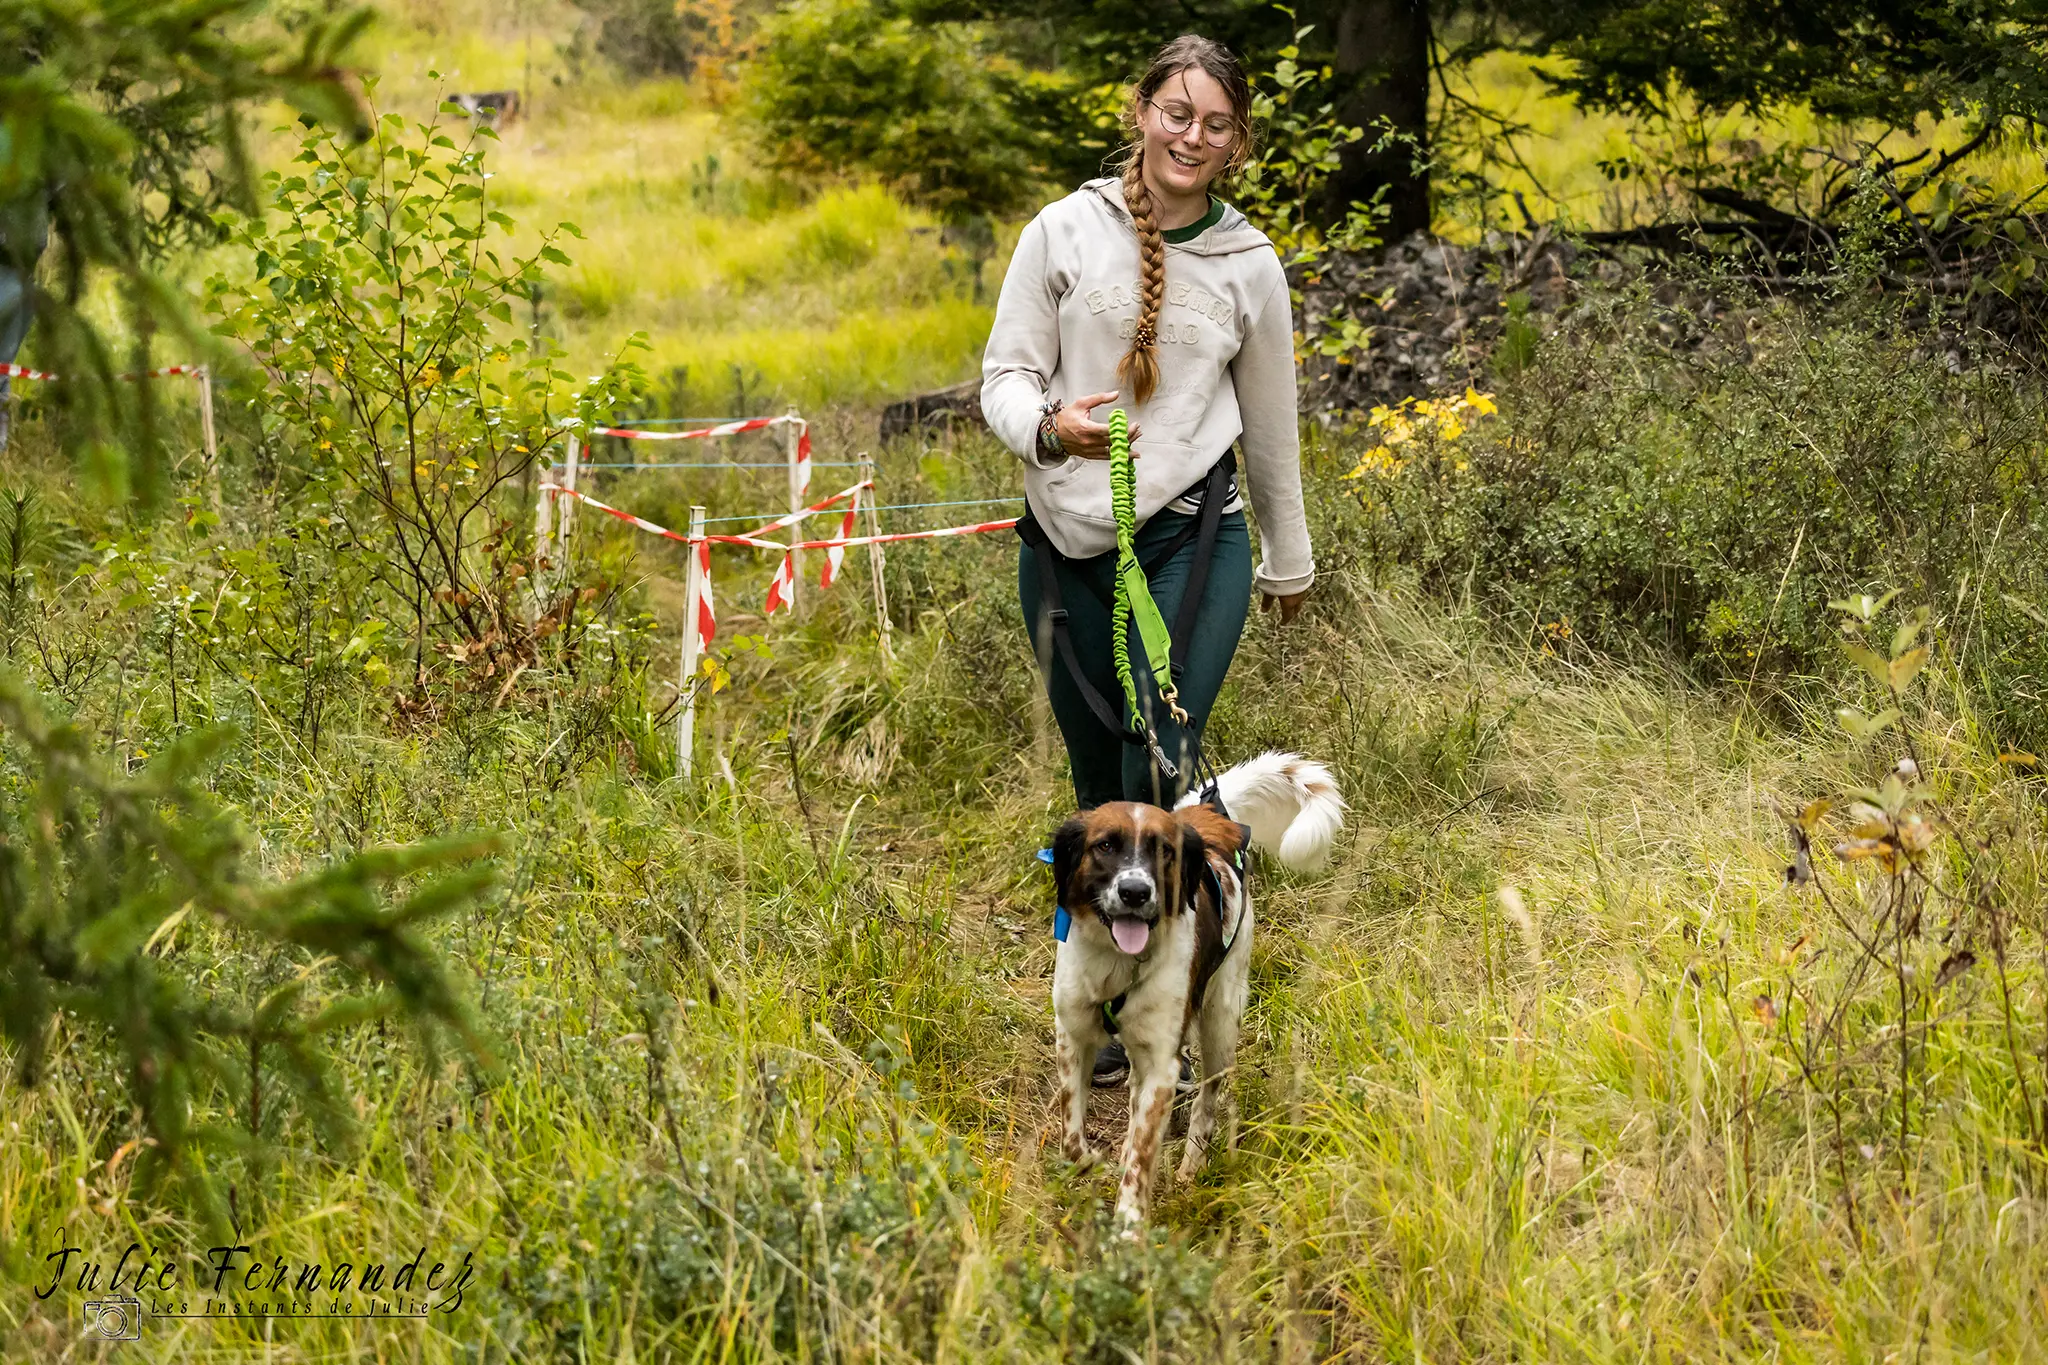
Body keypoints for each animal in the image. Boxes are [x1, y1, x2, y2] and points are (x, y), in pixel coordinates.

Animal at [1048, 753, 1351, 1219]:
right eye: (1106, 846)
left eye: (1165, 852)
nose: (1135, 892)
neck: (1118, 964)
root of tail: (1205, 816)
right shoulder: (1073, 1038)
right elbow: (1072, 1139)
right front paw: (1097, 1163)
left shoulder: (1164, 1061)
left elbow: (1141, 1157)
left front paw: (1130, 1221)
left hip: (1220, 1023)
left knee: (1206, 1103)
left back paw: (1191, 1167)